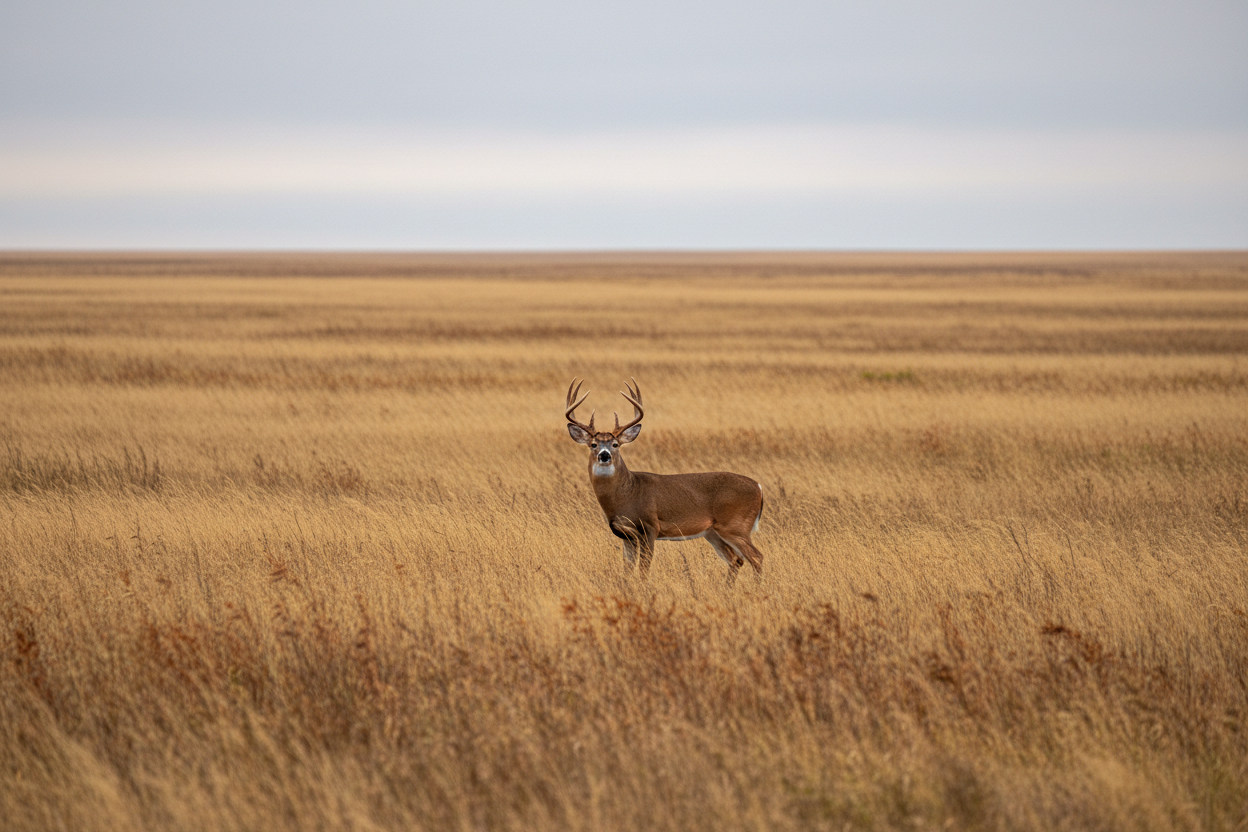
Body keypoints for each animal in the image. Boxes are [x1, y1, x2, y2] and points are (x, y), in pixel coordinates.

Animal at [564, 378, 765, 580]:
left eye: (615, 444)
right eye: (593, 445)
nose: (604, 455)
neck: (626, 495)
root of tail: (758, 487)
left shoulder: (650, 526)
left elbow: (643, 569)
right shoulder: (626, 535)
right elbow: (627, 570)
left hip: (735, 526)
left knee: (756, 557)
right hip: (713, 532)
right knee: (736, 560)